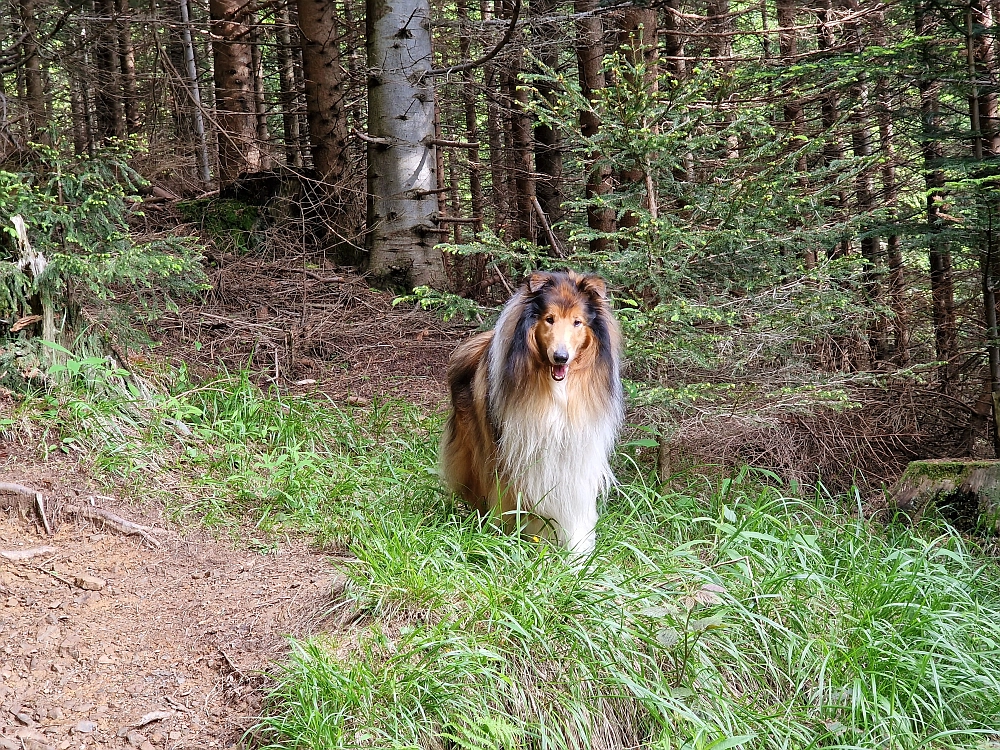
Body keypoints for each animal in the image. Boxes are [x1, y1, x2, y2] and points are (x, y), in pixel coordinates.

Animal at [440, 274, 620, 556]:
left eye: (577, 322)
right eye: (550, 319)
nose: (561, 357)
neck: (556, 389)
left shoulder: (576, 456)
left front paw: (578, 554)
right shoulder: (509, 457)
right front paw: (504, 542)